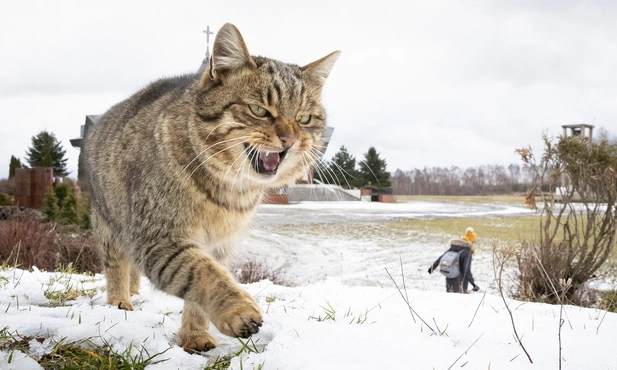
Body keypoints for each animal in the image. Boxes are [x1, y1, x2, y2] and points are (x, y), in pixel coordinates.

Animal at [83, 23, 336, 352]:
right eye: (258, 110)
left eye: (304, 118)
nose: (290, 140)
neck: (229, 187)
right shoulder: (159, 236)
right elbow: (202, 273)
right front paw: (237, 311)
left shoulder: (219, 243)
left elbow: (203, 289)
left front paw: (195, 336)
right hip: (110, 224)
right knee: (116, 264)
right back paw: (119, 301)